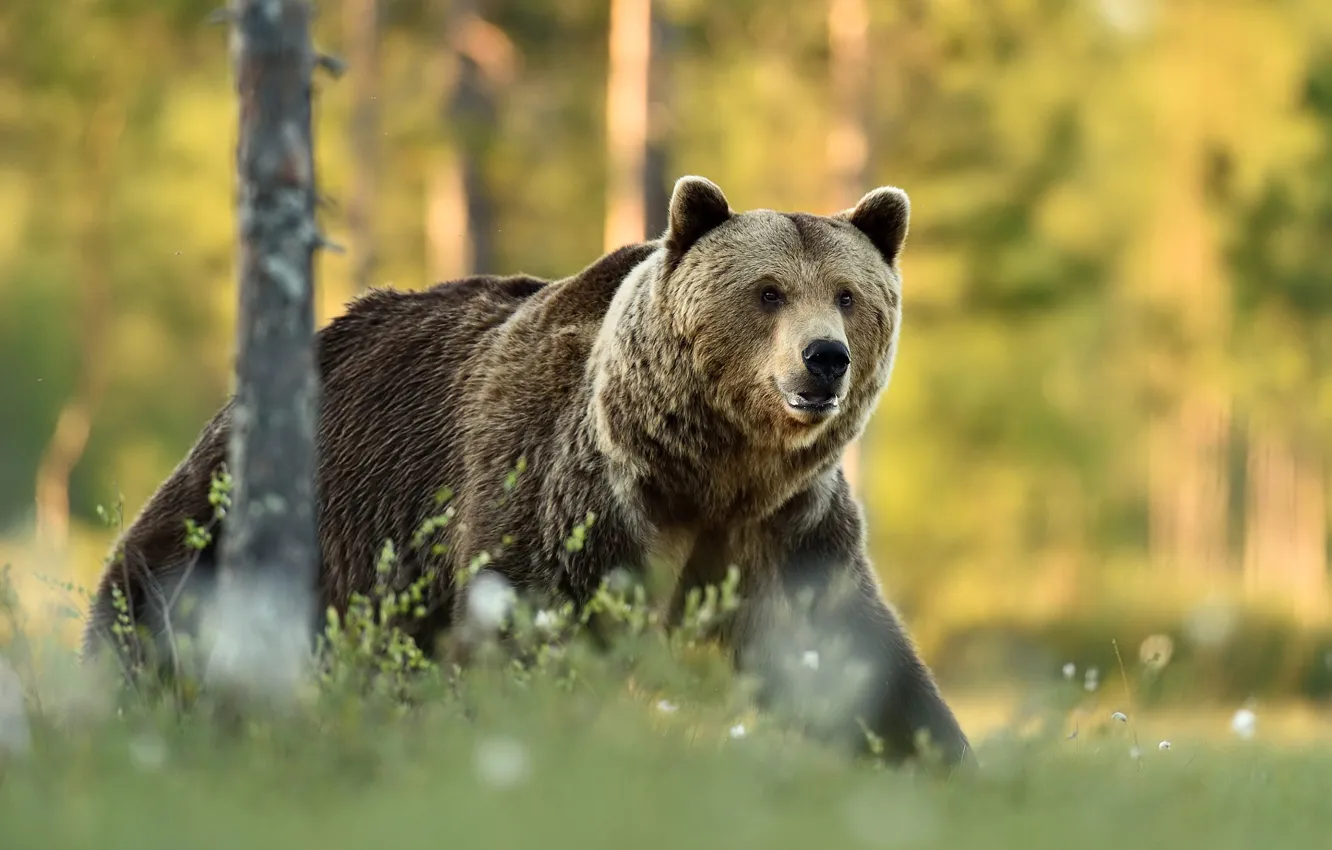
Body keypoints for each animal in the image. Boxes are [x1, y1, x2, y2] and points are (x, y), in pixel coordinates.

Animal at [81, 175, 972, 767]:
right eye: (767, 291)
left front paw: (938, 753)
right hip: (268, 513)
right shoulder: (568, 498)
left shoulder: (786, 528)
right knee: (158, 602)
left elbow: (848, 654)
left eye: (850, 294)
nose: (825, 358)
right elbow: (526, 635)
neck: (705, 474)